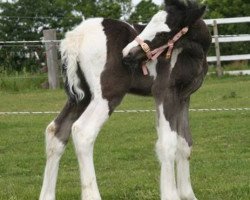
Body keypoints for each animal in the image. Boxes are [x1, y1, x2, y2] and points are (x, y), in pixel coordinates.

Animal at [39, 0, 211, 200]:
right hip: (107, 96)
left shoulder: (184, 97)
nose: (128, 53)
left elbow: (185, 143)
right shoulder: (164, 93)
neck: (192, 53)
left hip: (81, 98)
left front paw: (187, 195)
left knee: (56, 131)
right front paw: (170, 194)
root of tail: (76, 37)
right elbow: (167, 144)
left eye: (163, 33)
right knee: (82, 131)